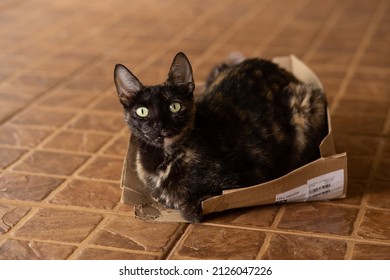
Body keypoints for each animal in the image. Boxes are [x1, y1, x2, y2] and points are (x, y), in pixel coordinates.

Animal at [114, 52, 328, 223]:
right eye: (142, 111)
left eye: (174, 106)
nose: (159, 126)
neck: (162, 159)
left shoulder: (234, 183)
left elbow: (189, 206)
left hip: (308, 105)